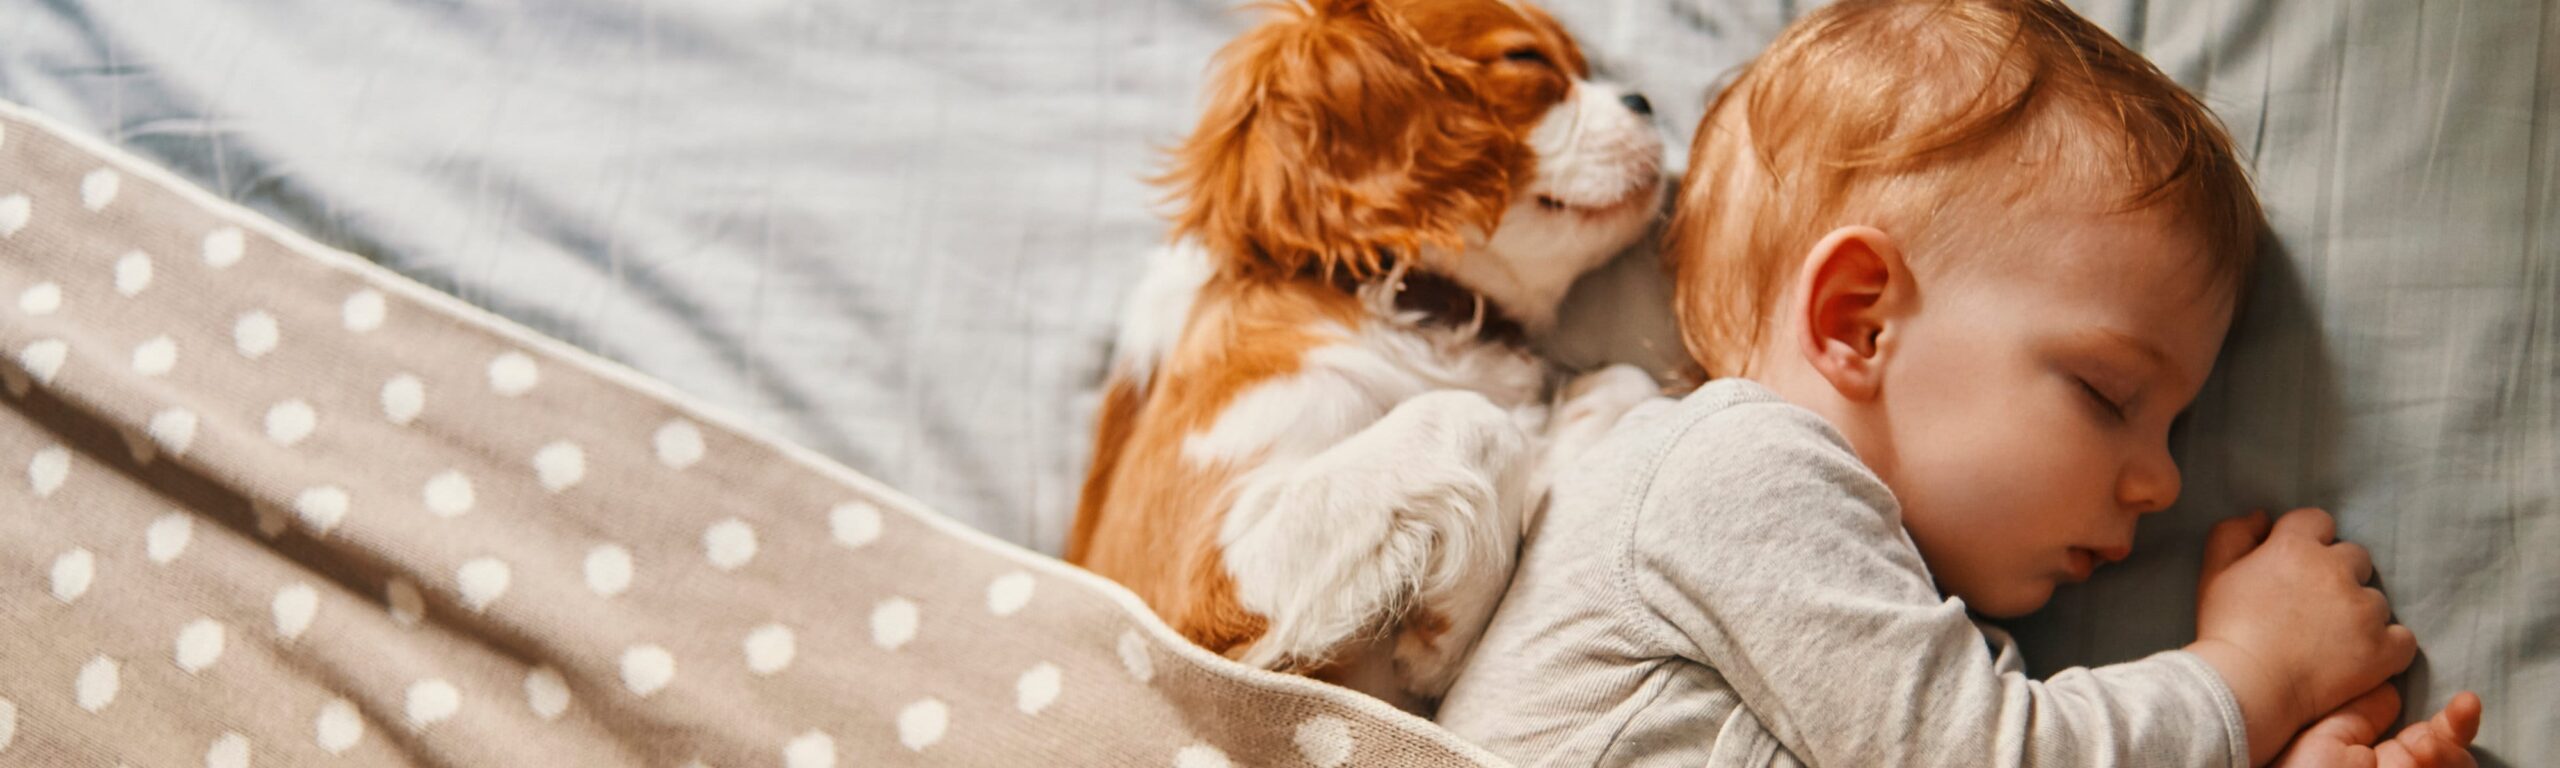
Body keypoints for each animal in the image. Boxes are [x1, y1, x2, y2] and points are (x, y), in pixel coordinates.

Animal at [1059, 0, 1658, 711]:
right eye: (1527, 59)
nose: (1645, 100)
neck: (1413, 311)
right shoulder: (1185, 590)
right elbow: (1470, 417)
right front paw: (1446, 635)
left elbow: (1625, 381)